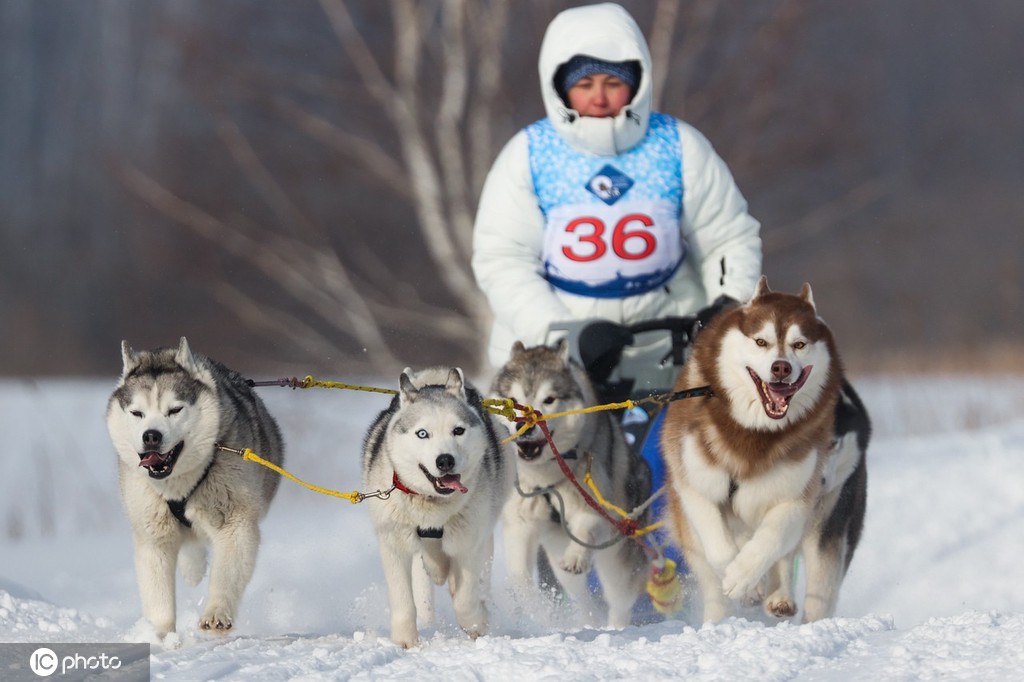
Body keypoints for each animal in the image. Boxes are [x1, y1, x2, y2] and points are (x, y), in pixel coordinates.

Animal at [659, 276, 868, 622]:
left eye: (800, 344)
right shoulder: (695, 486)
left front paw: (745, 576)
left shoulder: (795, 497)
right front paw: (741, 580)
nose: (781, 368)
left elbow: (770, 540)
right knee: (712, 581)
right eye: (761, 342)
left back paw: (782, 599)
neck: (754, 433)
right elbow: (719, 545)